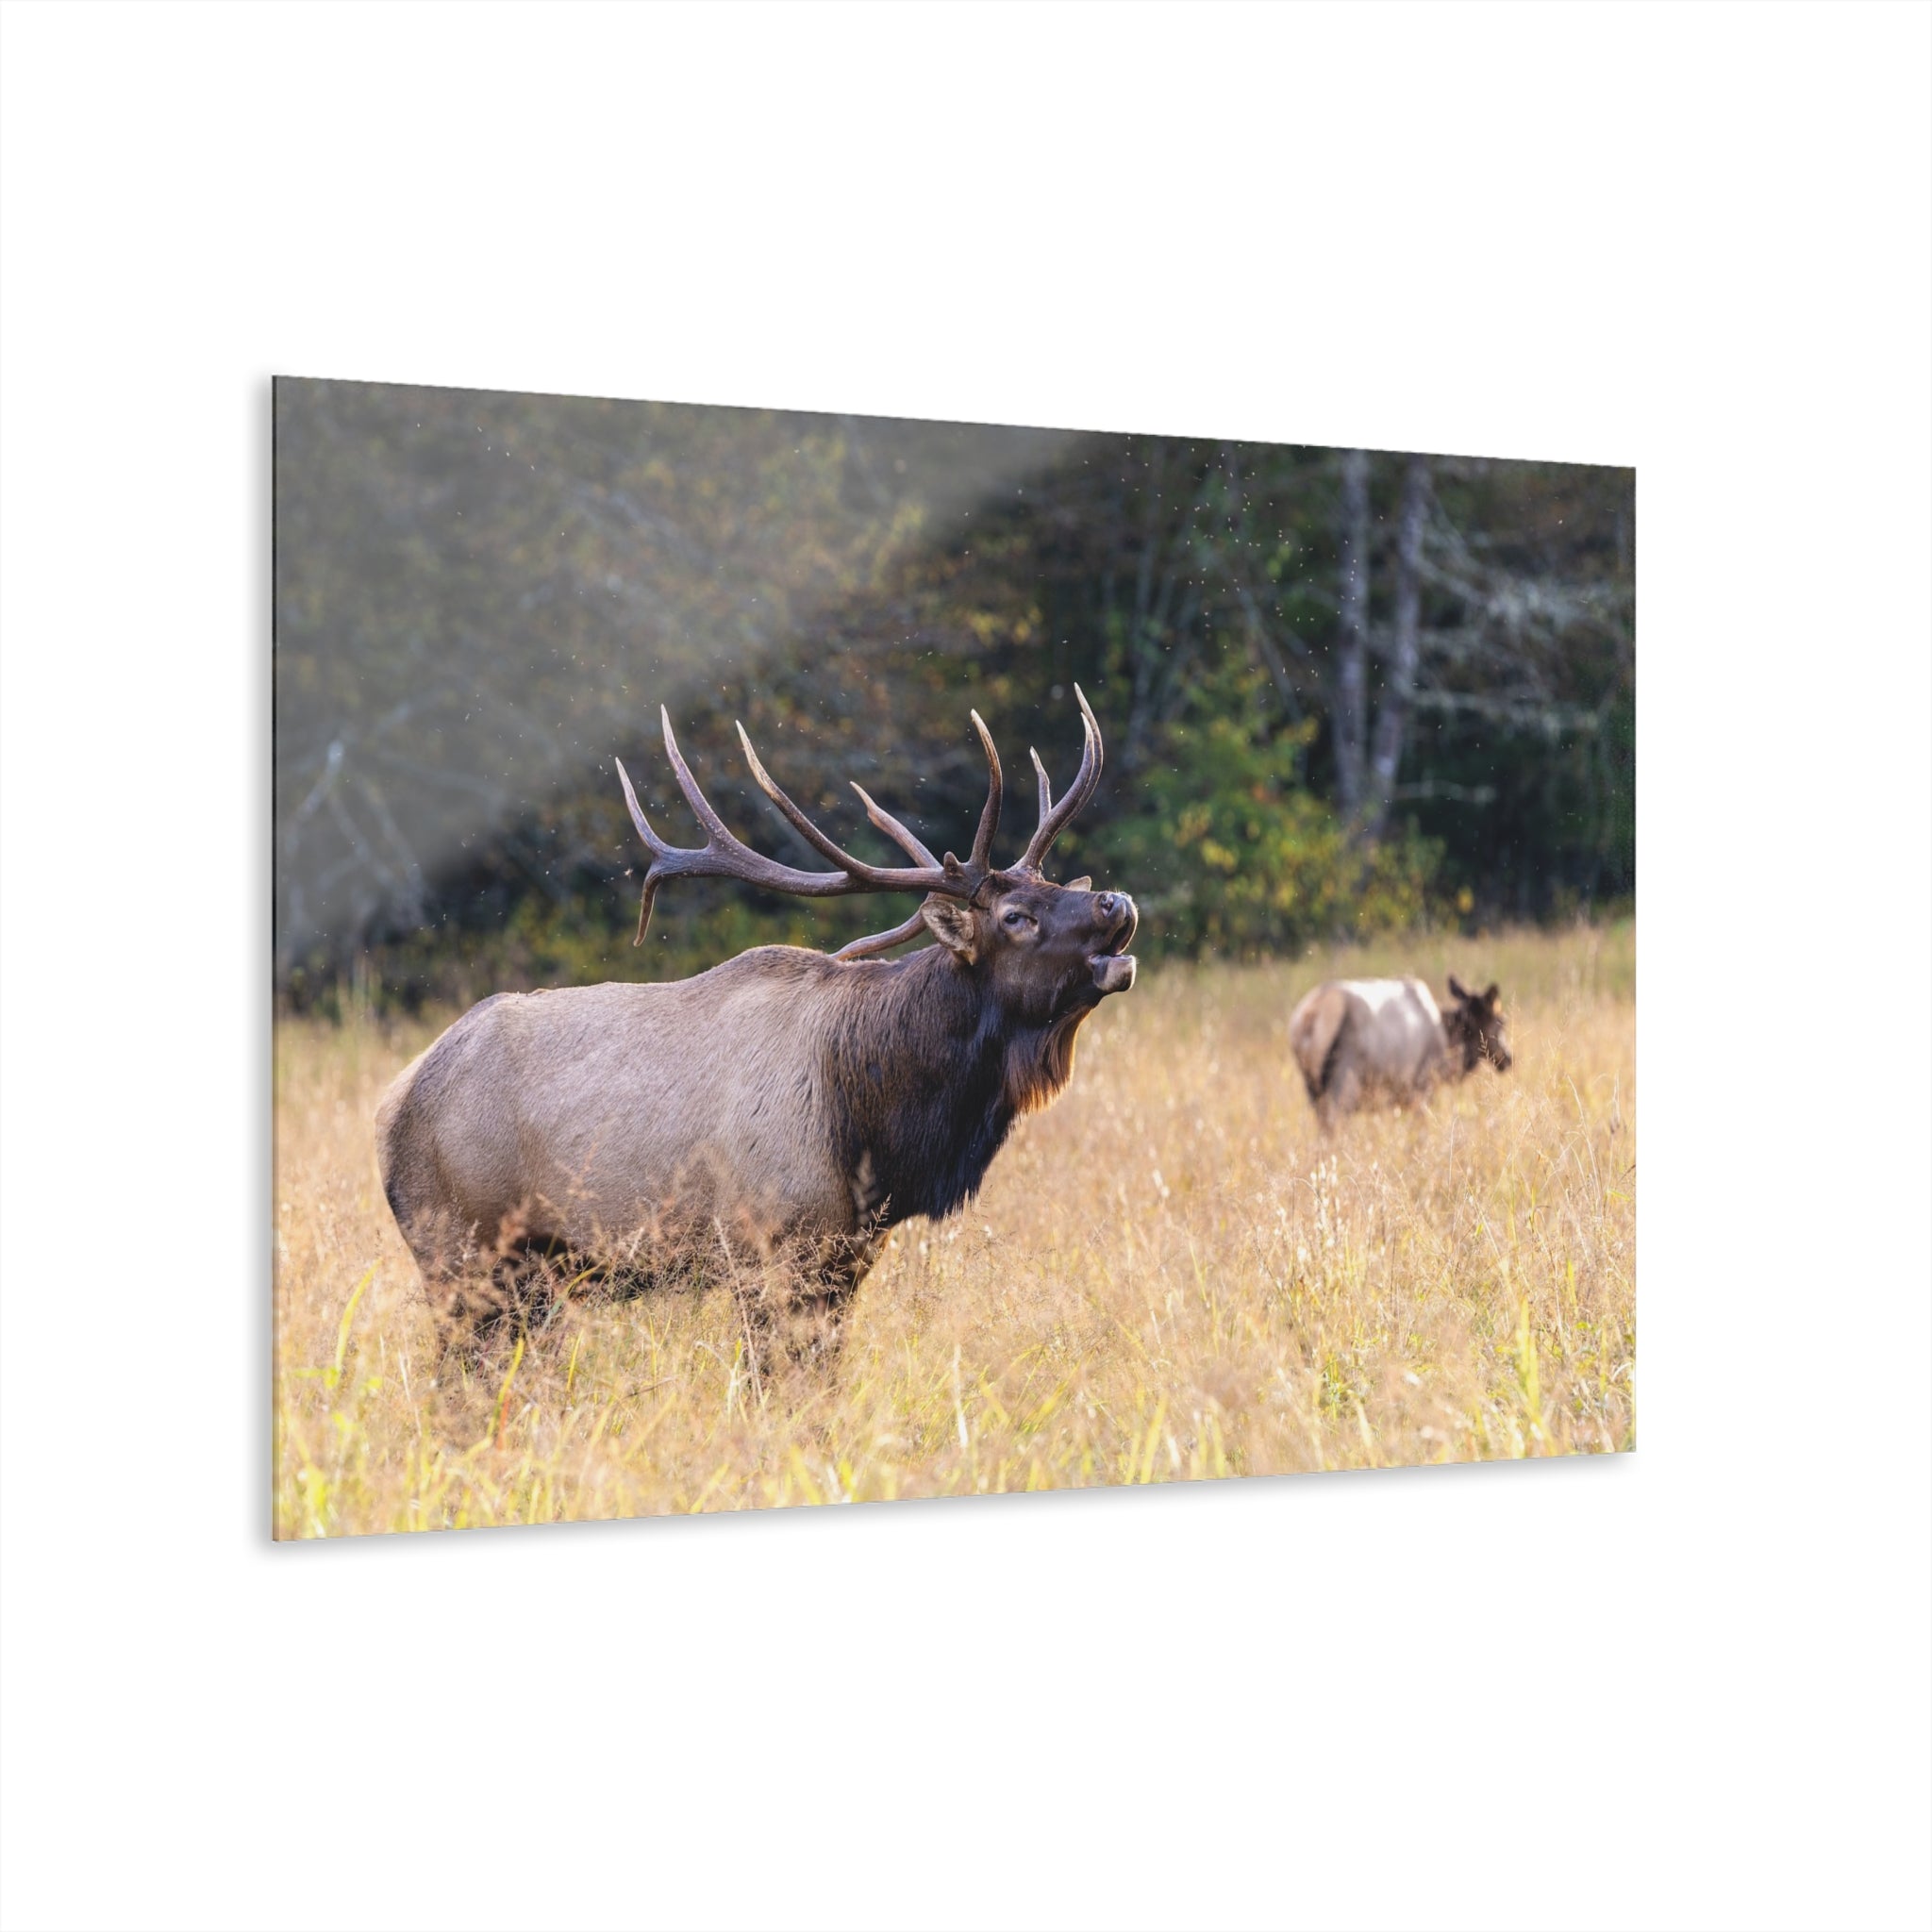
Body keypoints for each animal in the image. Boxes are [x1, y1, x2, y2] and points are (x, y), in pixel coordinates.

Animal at [374, 688, 1137, 1350]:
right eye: (1016, 916)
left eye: (1058, 884)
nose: (1117, 902)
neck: (876, 1125)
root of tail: (392, 1107)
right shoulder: (765, 1247)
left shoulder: (845, 1258)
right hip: (464, 1254)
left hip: (524, 1280)